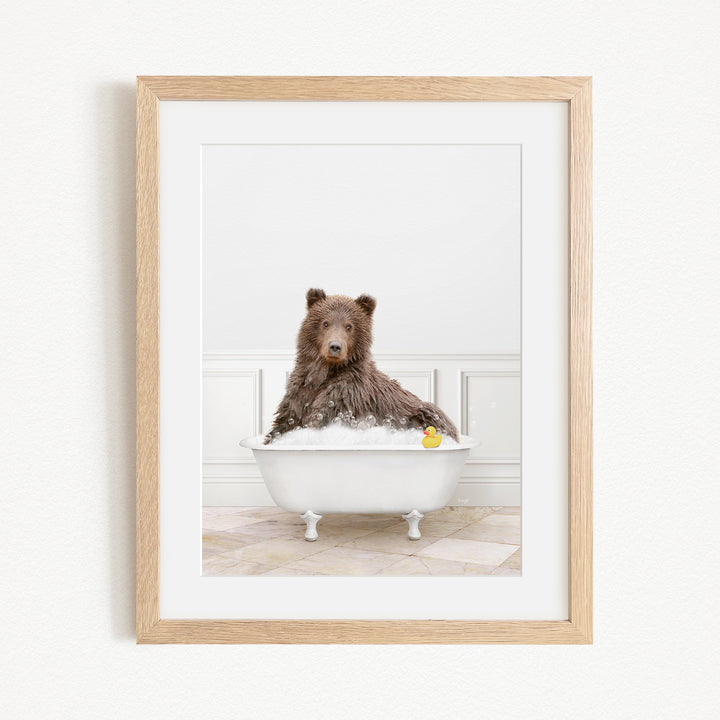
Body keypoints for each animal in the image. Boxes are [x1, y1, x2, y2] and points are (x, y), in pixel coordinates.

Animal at [265, 288, 459, 443]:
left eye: (349, 326)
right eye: (325, 323)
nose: (335, 346)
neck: (324, 373)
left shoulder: (346, 395)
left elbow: (323, 416)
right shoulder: (299, 393)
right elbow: (284, 422)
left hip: (423, 413)